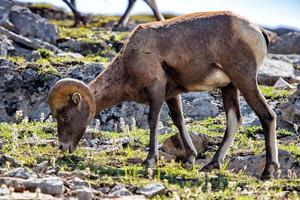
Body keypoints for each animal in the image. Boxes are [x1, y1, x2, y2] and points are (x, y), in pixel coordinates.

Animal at [48, 11, 280, 179]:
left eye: (65, 116)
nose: (63, 147)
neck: (129, 60)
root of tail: (258, 31)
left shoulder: (156, 90)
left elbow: (154, 121)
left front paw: (149, 160)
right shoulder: (171, 95)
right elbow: (179, 121)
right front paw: (190, 159)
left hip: (244, 79)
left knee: (267, 116)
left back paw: (268, 172)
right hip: (229, 87)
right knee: (234, 121)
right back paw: (211, 165)